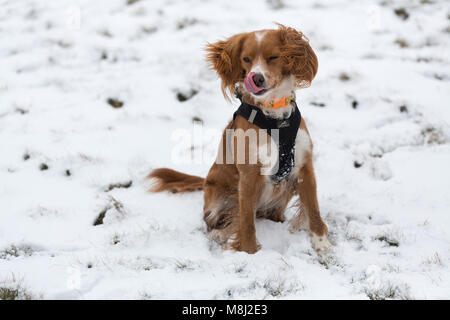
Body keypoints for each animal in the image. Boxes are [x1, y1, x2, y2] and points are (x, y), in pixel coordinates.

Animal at [149, 24, 328, 255]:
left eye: (273, 57)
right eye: (246, 59)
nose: (256, 78)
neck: (274, 116)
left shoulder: (304, 165)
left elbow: (313, 208)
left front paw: (322, 243)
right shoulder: (249, 174)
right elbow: (246, 221)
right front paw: (250, 253)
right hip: (219, 195)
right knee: (216, 220)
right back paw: (218, 234)